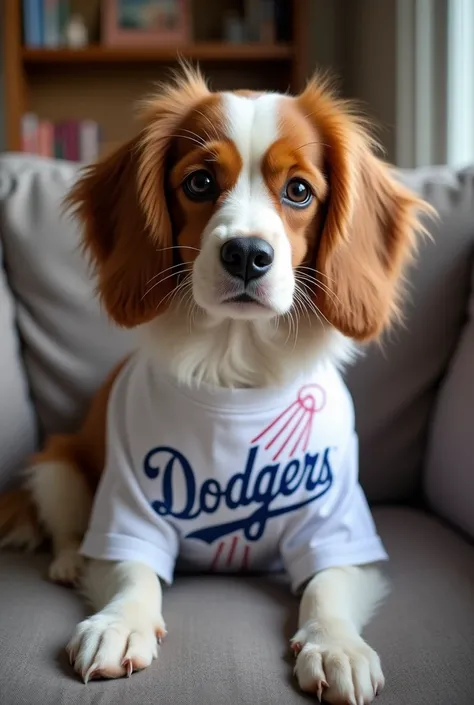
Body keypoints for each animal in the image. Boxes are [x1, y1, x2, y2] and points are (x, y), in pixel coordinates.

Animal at [0, 64, 432, 700]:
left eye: (299, 190)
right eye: (200, 182)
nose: (247, 254)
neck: (236, 362)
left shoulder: (339, 524)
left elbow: (326, 584)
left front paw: (334, 645)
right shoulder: (128, 508)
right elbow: (132, 572)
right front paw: (119, 624)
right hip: (59, 467)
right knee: (65, 523)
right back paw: (70, 560)